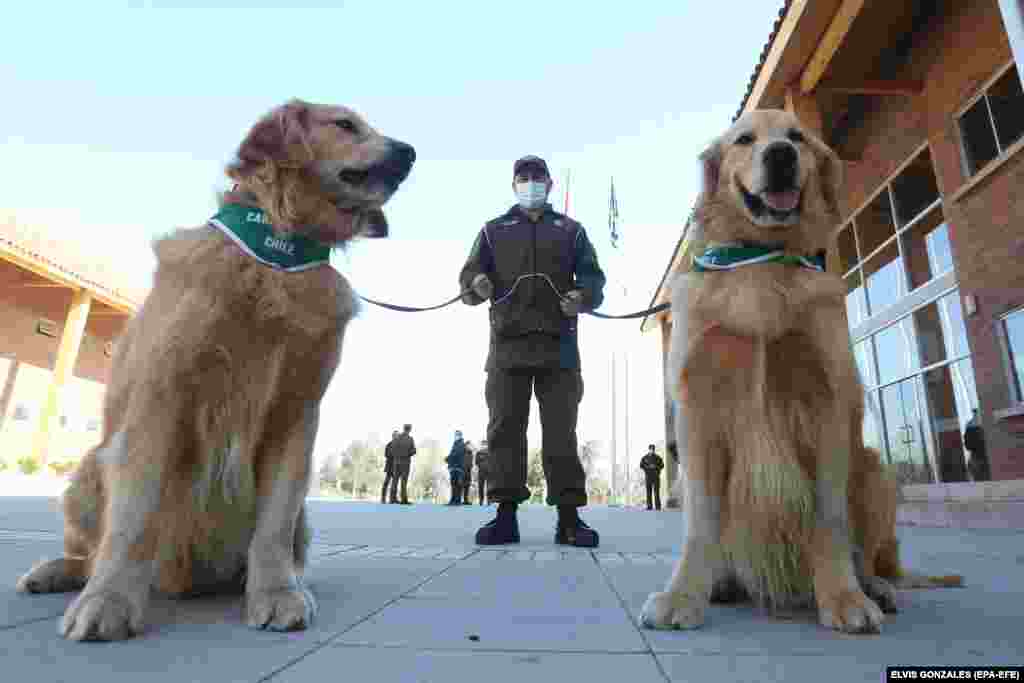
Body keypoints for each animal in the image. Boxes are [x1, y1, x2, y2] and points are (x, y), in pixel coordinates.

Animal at [16, 97, 415, 643]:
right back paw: (57, 572)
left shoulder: (296, 415)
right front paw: (107, 600)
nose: (410, 153)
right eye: (345, 124)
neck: (277, 251)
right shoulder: (160, 399)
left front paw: (278, 593)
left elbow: (273, 525)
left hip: (303, 518)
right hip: (88, 470)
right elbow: (132, 516)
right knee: (90, 551)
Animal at [638, 109, 958, 638]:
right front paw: (683, 595)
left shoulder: (826, 403)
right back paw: (723, 582)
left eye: (798, 138)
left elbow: (829, 518)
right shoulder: (698, 413)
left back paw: (874, 587)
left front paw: (844, 598)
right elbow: (701, 520)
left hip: (875, 469)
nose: (781, 156)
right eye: (744, 139)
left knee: (872, 556)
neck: (761, 260)